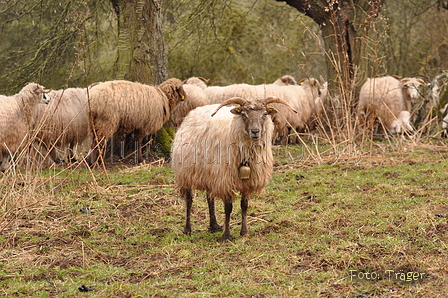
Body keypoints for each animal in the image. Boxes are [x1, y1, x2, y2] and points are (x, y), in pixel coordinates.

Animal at [172, 96, 298, 241]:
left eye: (265, 114)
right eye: (243, 115)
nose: (255, 132)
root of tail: (193, 112)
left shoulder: (247, 181)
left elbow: (244, 206)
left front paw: (244, 232)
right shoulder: (225, 180)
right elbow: (228, 208)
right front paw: (226, 236)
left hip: (210, 173)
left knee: (210, 198)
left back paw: (214, 225)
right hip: (185, 173)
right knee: (189, 200)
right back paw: (187, 229)